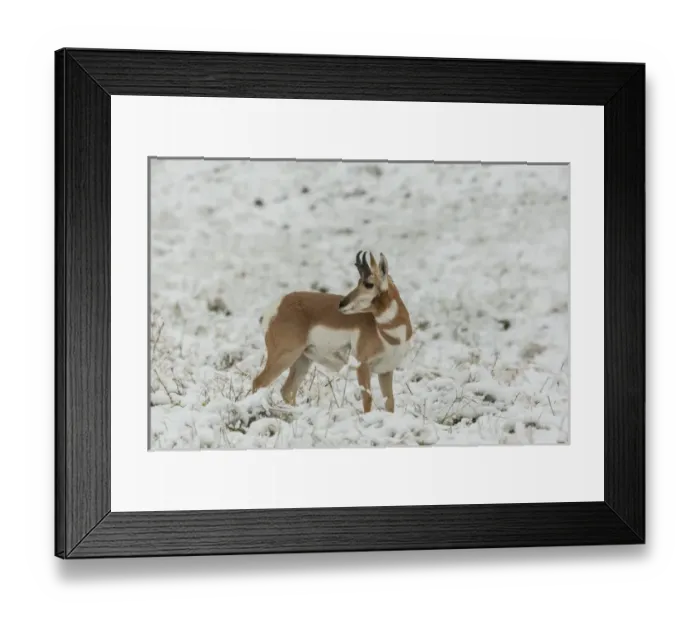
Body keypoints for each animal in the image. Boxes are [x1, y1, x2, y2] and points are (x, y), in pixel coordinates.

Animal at [252, 251, 413, 413]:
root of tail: (277, 306)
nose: (341, 304)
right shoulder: (362, 366)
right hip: (285, 355)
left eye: (368, 284)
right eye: (358, 282)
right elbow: (367, 400)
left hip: (302, 359)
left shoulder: (386, 371)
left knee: (288, 390)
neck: (391, 332)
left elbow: (390, 402)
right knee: (259, 382)